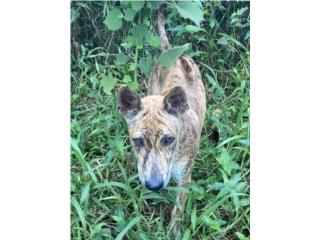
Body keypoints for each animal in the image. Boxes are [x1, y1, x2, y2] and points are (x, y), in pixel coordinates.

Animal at [119, 7, 206, 236]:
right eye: (137, 141)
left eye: (169, 139)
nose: (154, 186)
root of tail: (171, 51)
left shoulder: (185, 178)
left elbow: (178, 209)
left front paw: (174, 231)